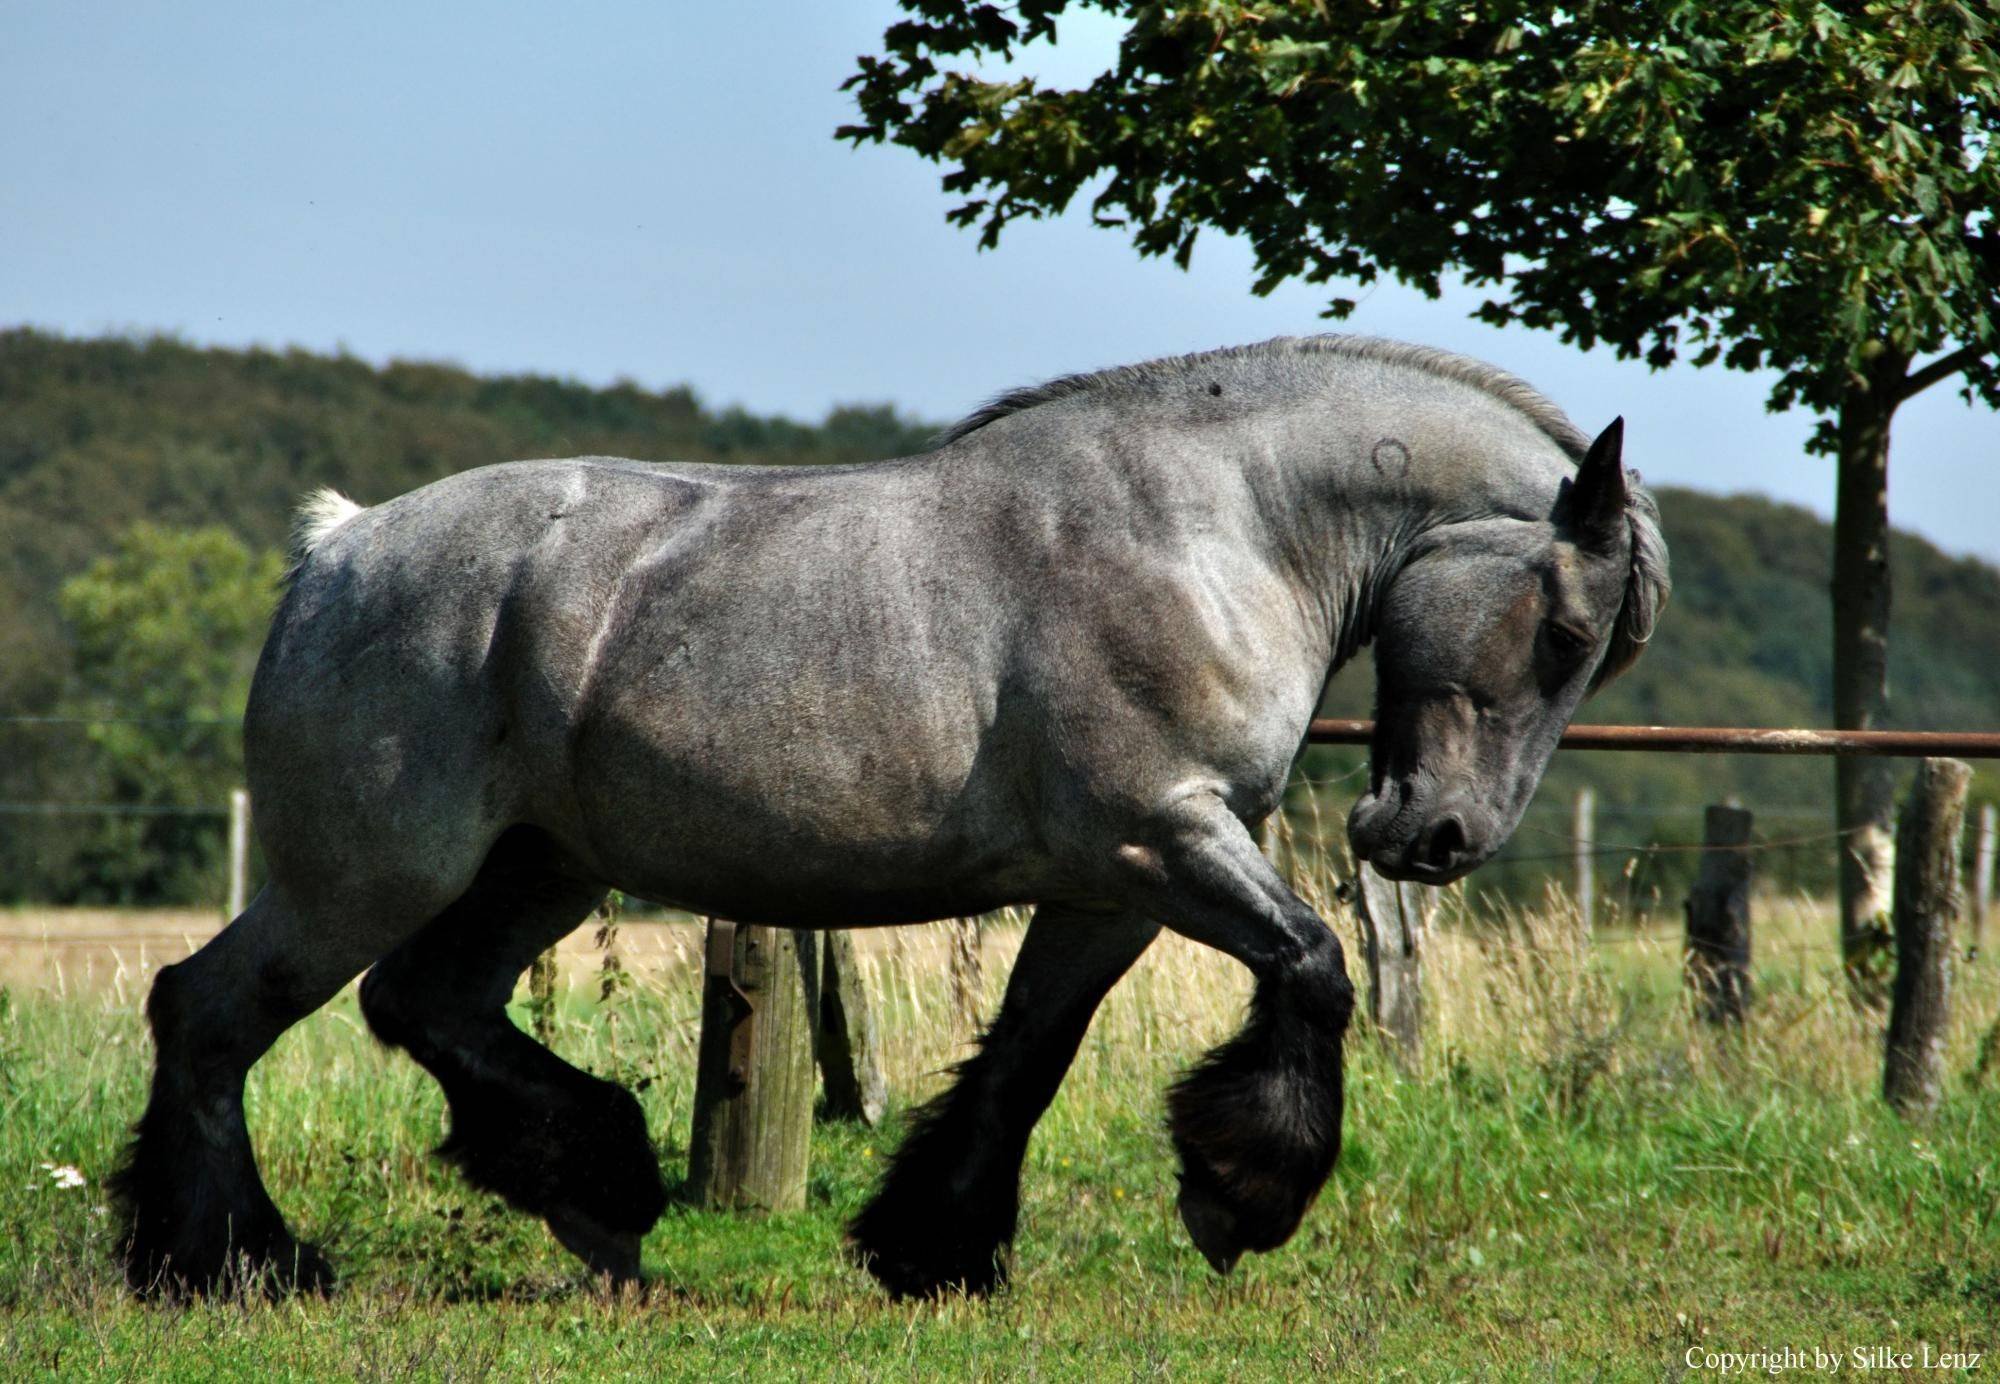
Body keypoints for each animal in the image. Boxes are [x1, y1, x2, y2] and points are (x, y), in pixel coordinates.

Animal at [113, 332, 1672, 1296]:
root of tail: (339, 549)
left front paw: (933, 1246)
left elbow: (1030, 1056)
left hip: (536, 872)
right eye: (1560, 631)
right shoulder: (1164, 842)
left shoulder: (1109, 888)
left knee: (423, 1005)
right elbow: (1316, 965)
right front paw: (1241, 1198)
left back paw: (598, 1195)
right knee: (210, 1012)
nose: (1437, 841)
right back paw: (230, 1262)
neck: (1212, 527)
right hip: (369, 873)